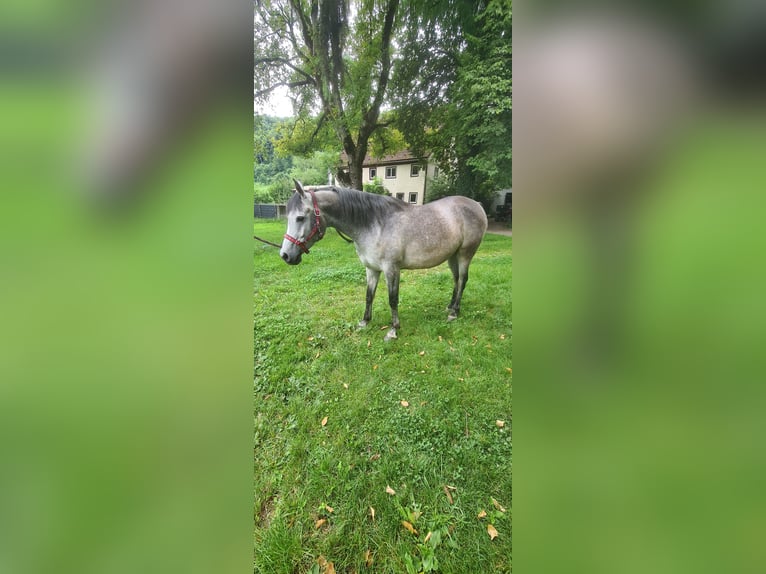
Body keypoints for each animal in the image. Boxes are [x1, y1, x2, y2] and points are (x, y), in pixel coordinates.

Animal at [280, 181, 486, 342]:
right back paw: (450, 306)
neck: (374, 225)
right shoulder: (371, 269)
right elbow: (369, 296)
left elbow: (392, 299)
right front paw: (364, 322)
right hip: (453, 256)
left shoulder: (391, 269)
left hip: (465, 254)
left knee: (462, 280)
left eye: (300, 217)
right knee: (456, 280)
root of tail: (476, 205)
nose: (285, 255)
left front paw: (393, 330)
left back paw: (454, 313)